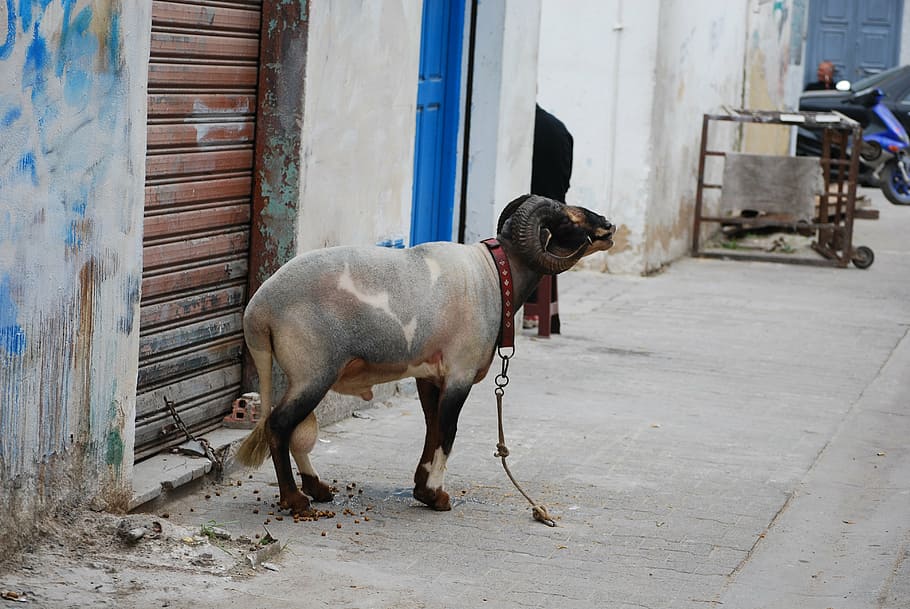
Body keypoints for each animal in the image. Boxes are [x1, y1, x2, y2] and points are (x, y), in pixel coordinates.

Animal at [235, 194, 615, 515]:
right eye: (568, 219)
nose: (609, 227)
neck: (493, 277)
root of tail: (259, 311)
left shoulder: (430, 376)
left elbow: (432, 428)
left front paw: (421, 487)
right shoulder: (460, 373)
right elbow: (448, 431)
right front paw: (436, 497)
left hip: (302, 374)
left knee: (294, 431)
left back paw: (318, 489)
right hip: (313, 372)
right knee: (280, 425)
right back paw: (296, 500)